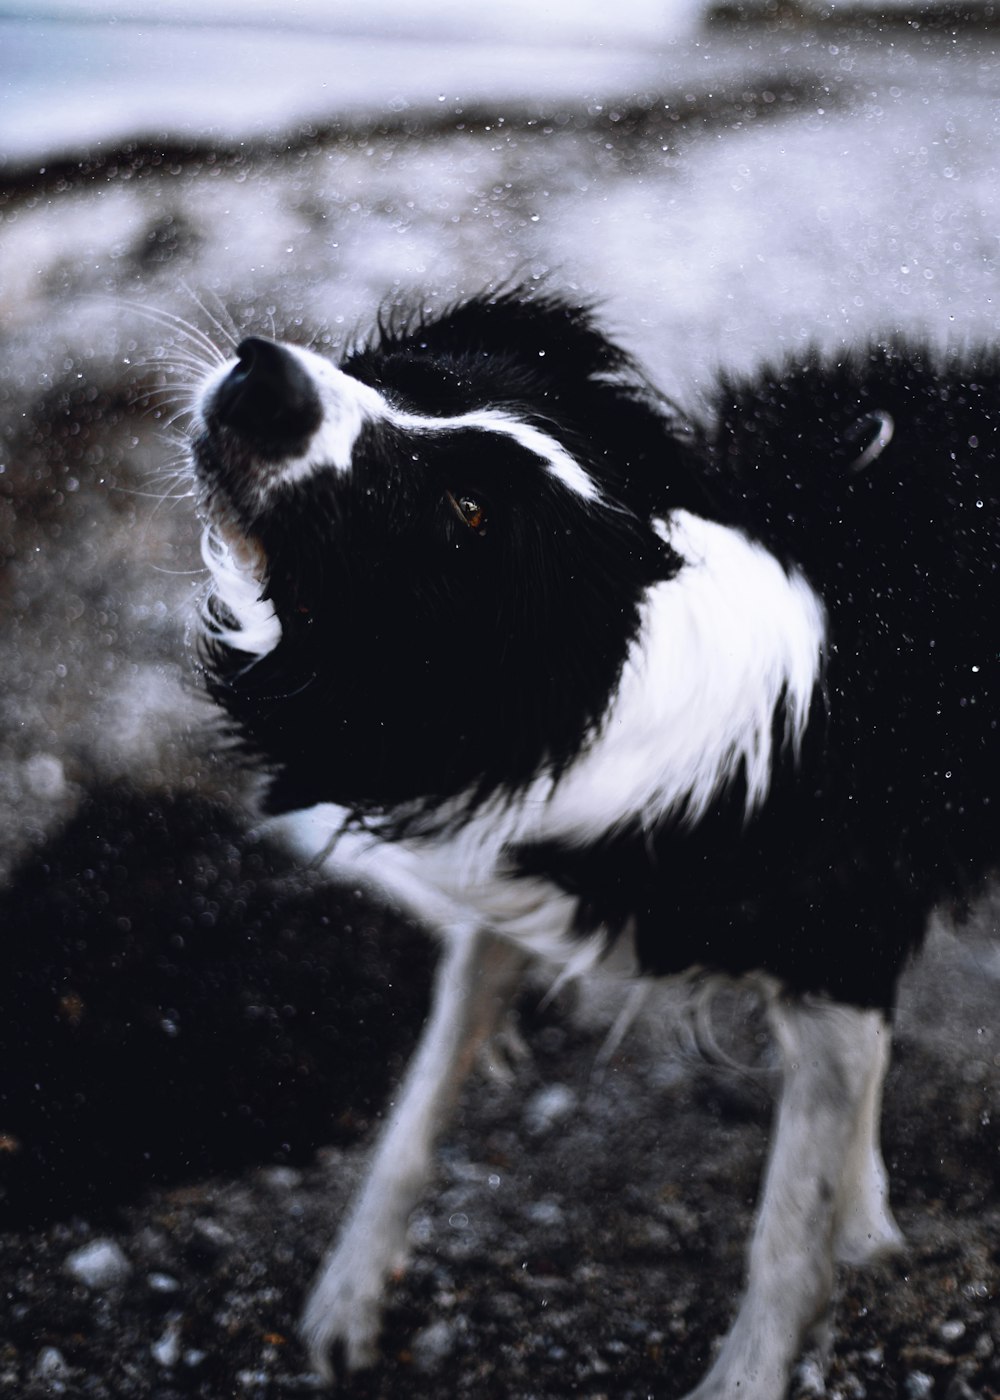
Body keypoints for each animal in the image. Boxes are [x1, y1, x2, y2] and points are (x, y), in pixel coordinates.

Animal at [183, 287, 991, 1400]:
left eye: (467, 514)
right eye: (403, 372)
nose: (264, 373)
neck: (611, 674)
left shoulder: (843, 947)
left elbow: (786, 1226)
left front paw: (753, 1362)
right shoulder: (515, 879)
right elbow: (418, 1098)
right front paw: (348, 1293)